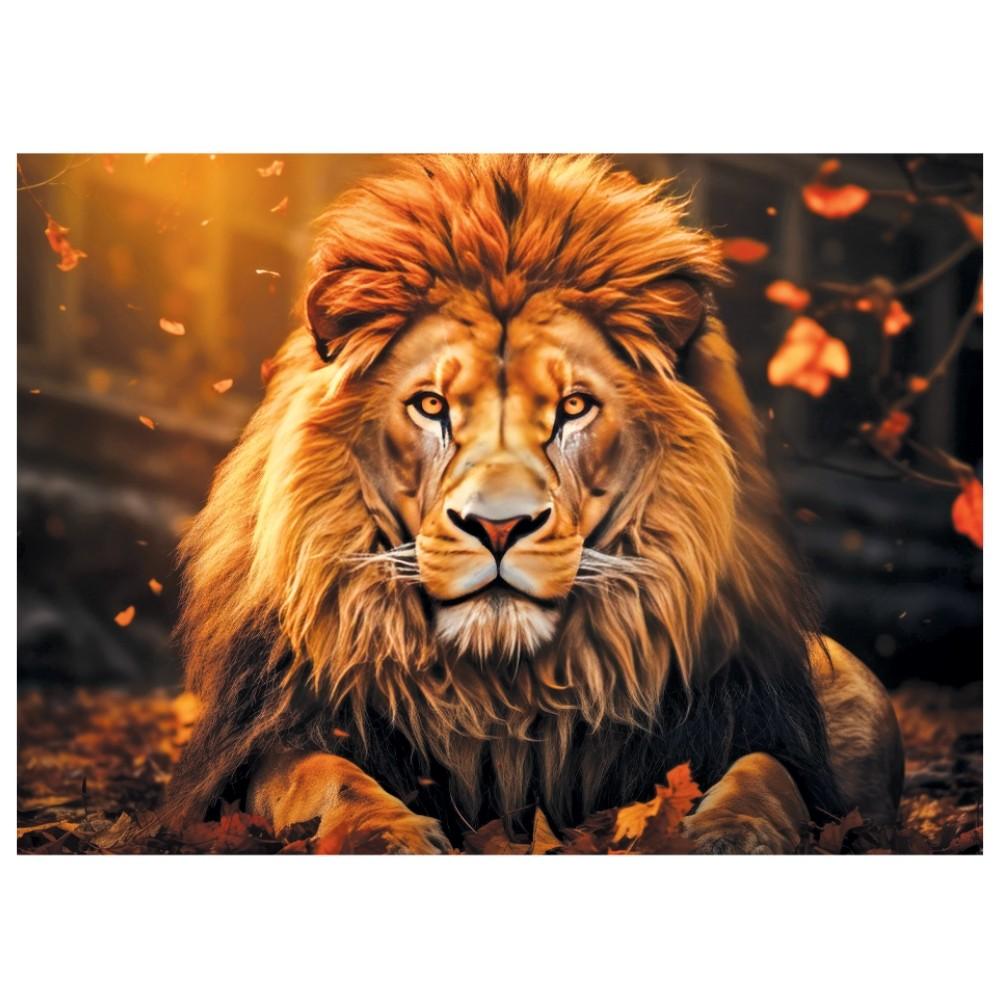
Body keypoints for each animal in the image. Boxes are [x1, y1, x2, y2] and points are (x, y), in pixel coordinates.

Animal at [165, 154, 903, 853]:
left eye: (573, 407)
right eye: (431, 405)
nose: (499, 527)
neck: (506, 689)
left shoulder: (752, 729)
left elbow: (766, 775)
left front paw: (729, 834)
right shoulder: (271, 743)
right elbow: (328, 778)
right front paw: (387, 836)